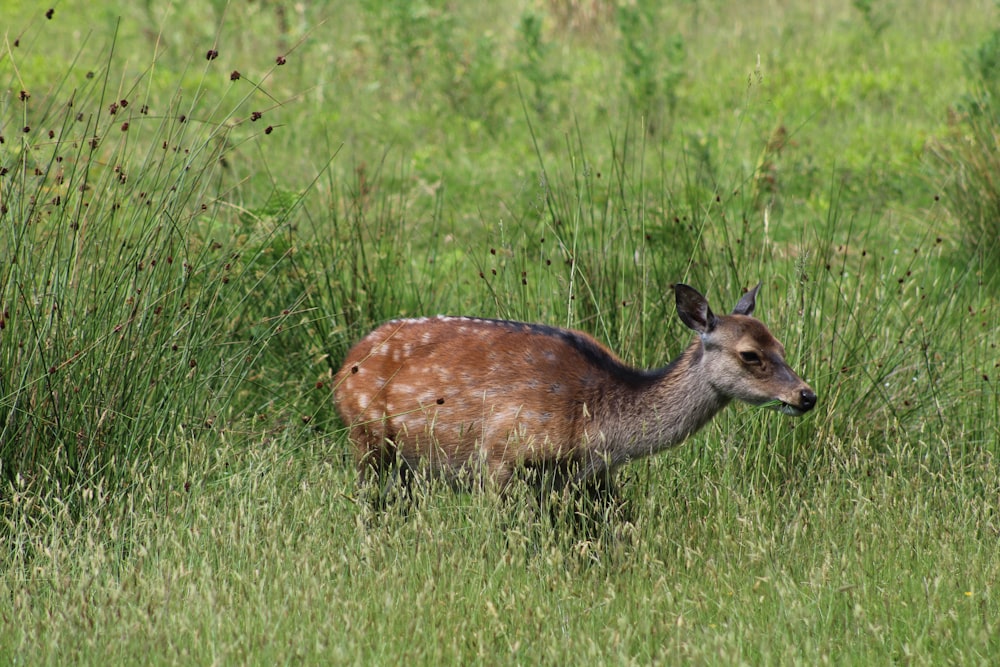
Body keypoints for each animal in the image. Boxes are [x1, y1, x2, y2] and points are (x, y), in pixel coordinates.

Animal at [332, 284, 816, 500]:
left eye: (782, 346)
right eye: (750, 354)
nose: (806, 395)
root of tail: (344, 365)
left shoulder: (584, 478)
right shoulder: (500, 453)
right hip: (366, 436)